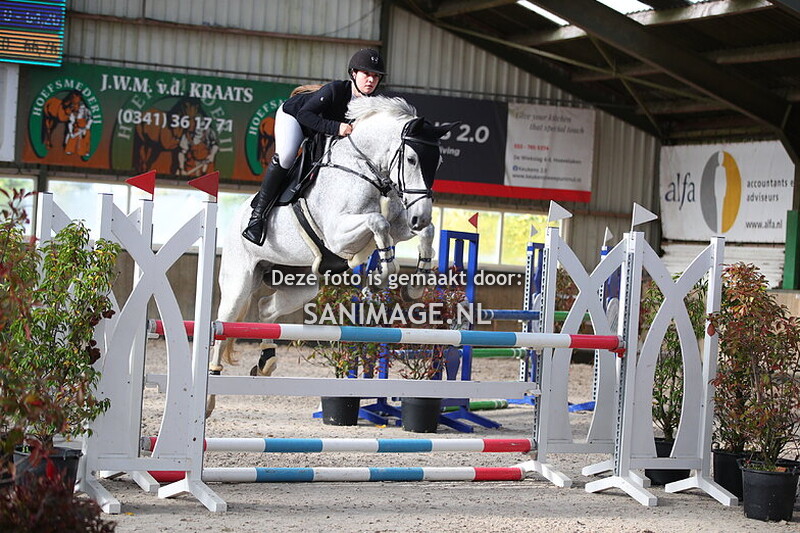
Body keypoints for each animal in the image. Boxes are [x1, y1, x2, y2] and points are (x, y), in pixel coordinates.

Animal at [206, 95, 453, 416]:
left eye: (437, 162)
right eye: (412, 159)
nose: (420, 216)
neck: (364, 167)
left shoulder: (400, 224)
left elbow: (422, 232)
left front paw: (416, 284)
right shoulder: (338, 234)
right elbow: (379, 223)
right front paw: (382, 275)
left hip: (300, 286)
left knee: (266, 308)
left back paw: (265, 362)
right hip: (239, 284)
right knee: (222, 327)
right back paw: (209, 397)